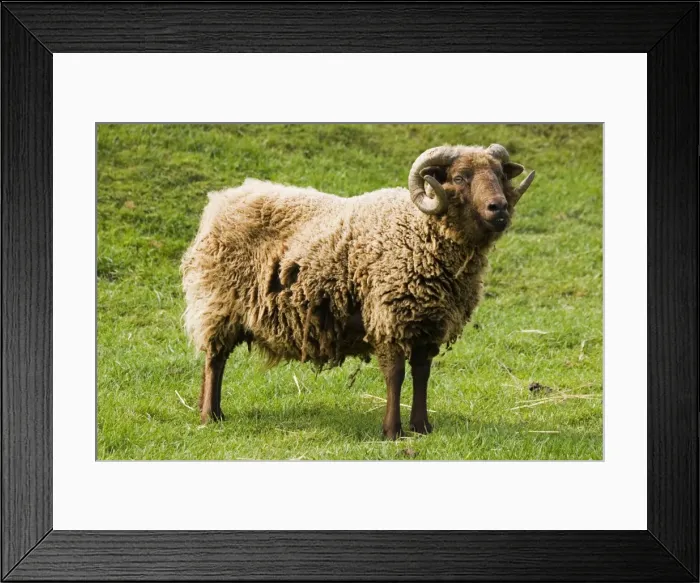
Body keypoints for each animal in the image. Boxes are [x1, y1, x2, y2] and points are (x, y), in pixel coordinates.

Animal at [181, 144, 535, 439]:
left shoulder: (427, 323)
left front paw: (422, 427)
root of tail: (222, 199)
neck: (420, 230)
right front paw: (392, 432)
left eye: (500, 174)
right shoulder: (389, 316)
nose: (499, 208)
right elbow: (395, 375)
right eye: (460, 177)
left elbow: (422, 374)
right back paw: (211, 415)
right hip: (219, 301)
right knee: (215, 359)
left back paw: (208, 408)